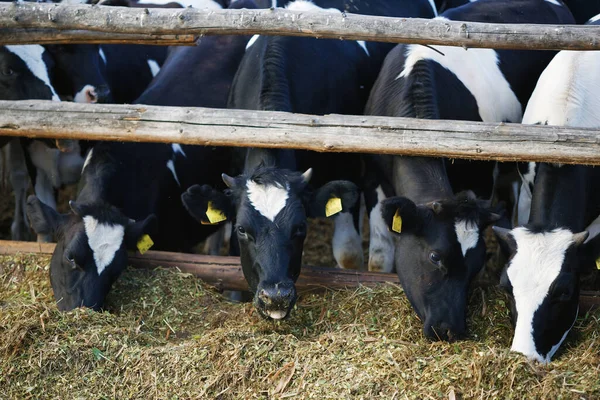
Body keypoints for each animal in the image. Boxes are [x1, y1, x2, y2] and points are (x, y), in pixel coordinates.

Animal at [364, 0, 576, 340]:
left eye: (476, 266)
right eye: (435, 257)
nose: (449, 330)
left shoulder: (478, 176)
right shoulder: (371, 174)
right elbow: (380, 253)